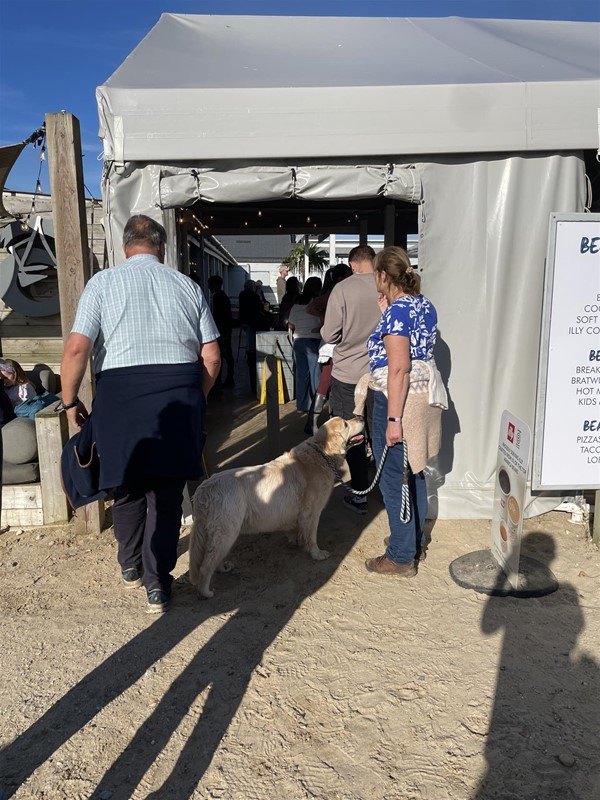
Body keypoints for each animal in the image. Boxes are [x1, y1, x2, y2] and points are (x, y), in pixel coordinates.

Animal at [190, 416, 364, 596]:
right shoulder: (311, 514)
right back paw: (206, 592)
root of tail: (203, 489)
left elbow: (296, 530)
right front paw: (316, 553)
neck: (321, 453)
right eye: (345, 424)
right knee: (206, 566)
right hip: (226, 532)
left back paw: (223, 568)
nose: (360, 417)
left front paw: (297, 541)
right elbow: (311, 537)